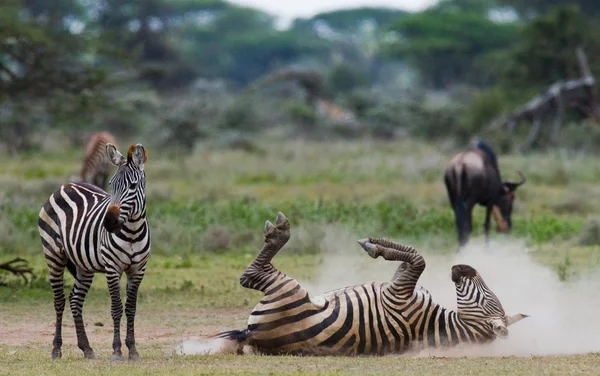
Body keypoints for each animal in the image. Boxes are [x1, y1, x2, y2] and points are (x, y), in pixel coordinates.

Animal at [38, 142, 150, 360]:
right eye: (111, 185)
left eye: (132, 186)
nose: (109, 222)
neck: (132, 231)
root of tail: (65, 186)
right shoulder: (112, 268)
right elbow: (116, 308)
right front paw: (117, 350)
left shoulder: (138, 270)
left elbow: (131, 308)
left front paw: (132, 350)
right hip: (54, 255)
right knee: (59, 300)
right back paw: (56, 349)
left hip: (84, 265)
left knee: (75, 300)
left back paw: (86, 348)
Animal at [209, 212, 528, 356]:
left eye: (487, 299)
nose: (462, 267)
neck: (439, 325)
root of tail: (253, 336)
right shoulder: (402, 285)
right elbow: (413, 255)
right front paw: (374, 241)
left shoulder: (399, 292)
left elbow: (418, 259)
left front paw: (373, 247)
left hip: (288, 289)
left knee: (251, 275)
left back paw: (279, 233)